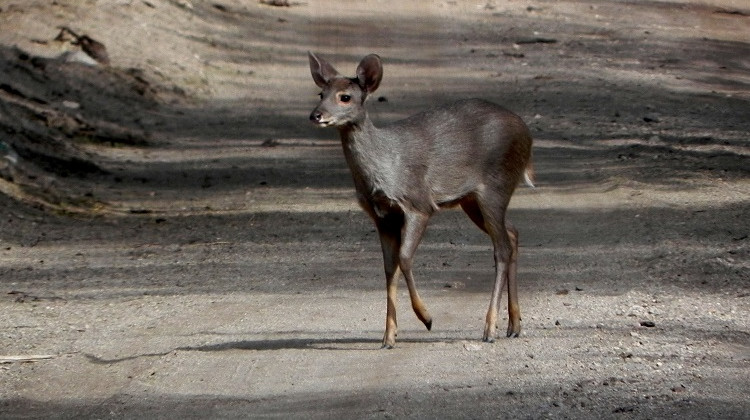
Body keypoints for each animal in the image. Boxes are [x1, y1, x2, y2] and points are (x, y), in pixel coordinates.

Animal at [306, 52, 536, 348]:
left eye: (345, 97)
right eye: (320, 93)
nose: (316, 114)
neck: (384, 169)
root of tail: (527, 136)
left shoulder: (418, 203)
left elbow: (404, 258)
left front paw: (426, 317)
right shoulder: (381, 216)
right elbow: (389, 267)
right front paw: (389, 336)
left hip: (495, 186)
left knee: (503, 248)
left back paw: (490, 328)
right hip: (471, 200)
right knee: (513, 232)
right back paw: (514, 324)